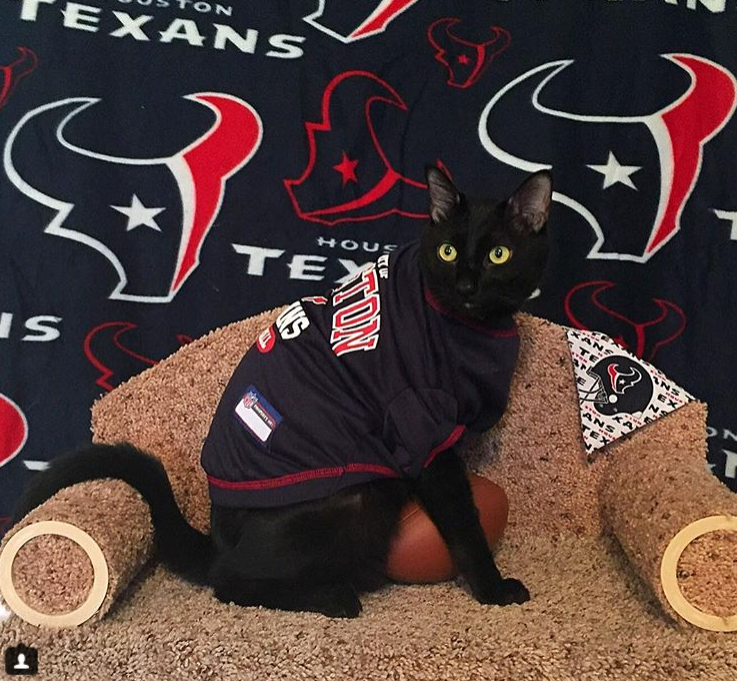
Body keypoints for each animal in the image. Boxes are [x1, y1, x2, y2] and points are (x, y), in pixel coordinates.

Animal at [12, 167, 552, 620]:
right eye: (448, 251)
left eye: (499, 254)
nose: (467, 284)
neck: (473, 325)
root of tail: (218, 537)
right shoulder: (420, 425)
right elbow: (463, 522)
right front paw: (494, 590)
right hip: (355, 497)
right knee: (228, 580)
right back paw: (335, 597)